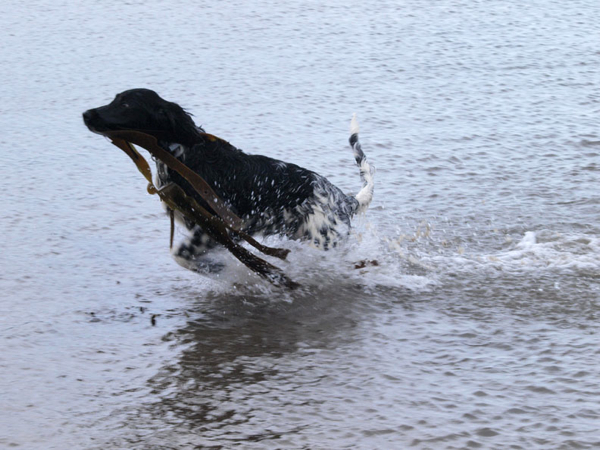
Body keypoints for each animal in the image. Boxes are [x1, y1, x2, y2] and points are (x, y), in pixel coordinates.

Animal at [83, 88, 376, 270]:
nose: (86, 114)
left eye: (126, 104)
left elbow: (180, 255)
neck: (185, 154)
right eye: (115, 99)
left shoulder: (217, 227)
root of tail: (344, 200)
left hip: (325, 244)